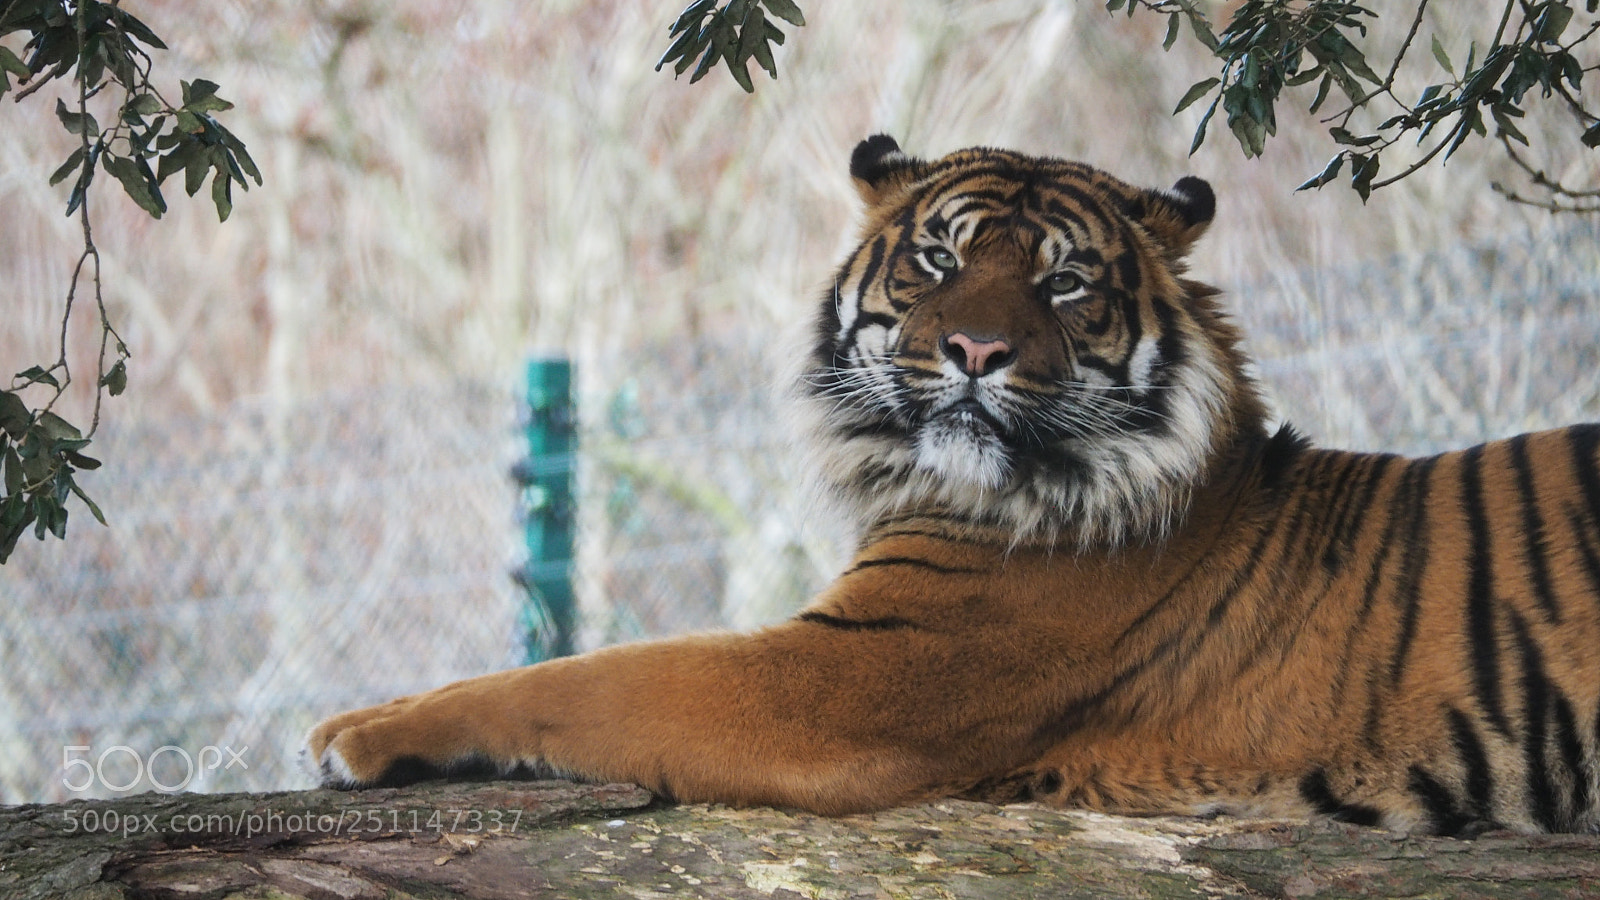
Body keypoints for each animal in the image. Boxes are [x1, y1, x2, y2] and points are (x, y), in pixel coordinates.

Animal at [307, 136, 1600, 835]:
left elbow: (589, 677)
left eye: (1066, 283)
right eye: (935, 261)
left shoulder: (848, 675)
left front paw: (362, 732)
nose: (977, 350)